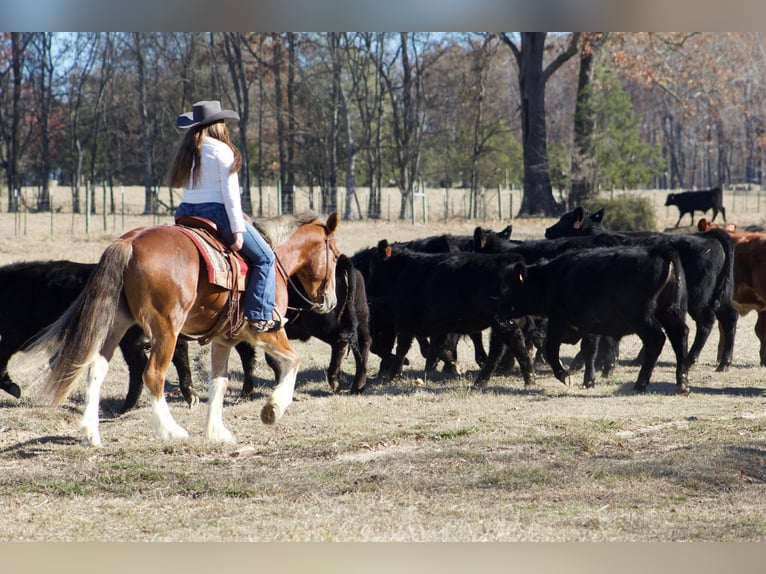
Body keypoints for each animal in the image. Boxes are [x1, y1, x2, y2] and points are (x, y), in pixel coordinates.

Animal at [24, 214, 340, 448]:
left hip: (117, 324)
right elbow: (293, 361)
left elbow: (219, 382)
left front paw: (216, 431)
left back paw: (91, 433)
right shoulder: (266, 332)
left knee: (96, 368)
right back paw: (170, 430)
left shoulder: (224, 340)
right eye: (336, 256)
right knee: (153, 374)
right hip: (166, 330)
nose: (331, 301)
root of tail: (130, 242)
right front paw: (272, 409)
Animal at [364, 241, 536, 390]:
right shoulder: (437, 328)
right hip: (502, 323)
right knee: (503, 347)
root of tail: (511, 263)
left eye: (373, 267)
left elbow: (403, 350)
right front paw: (454, 366)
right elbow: (439, 348)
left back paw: (524, 379)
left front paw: (391, 377)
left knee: (510, 344)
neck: (402, 272)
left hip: (502, 321)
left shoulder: (405, 323)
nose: (367, 289)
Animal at [496, 243, 692, 396]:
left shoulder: (559, 321)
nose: (498, 315)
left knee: (656, 340)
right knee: (680, 335)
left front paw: (565, 376)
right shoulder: (588, 325)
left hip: (641, 316)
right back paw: (682, 383)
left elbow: (551, 348)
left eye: (508, 288)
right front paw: (588, 381)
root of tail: (658, 250)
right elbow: (589, 349)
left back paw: (640, 384)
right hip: (669, 313)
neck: (551, 277)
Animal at [544, 207, 740, 374]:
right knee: (729, 317)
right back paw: (724, 363)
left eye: (564, 219)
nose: (547, 230)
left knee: (706, 322)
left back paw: (691, 359)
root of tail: (708, 237)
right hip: (719, 296)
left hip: (698, 298)